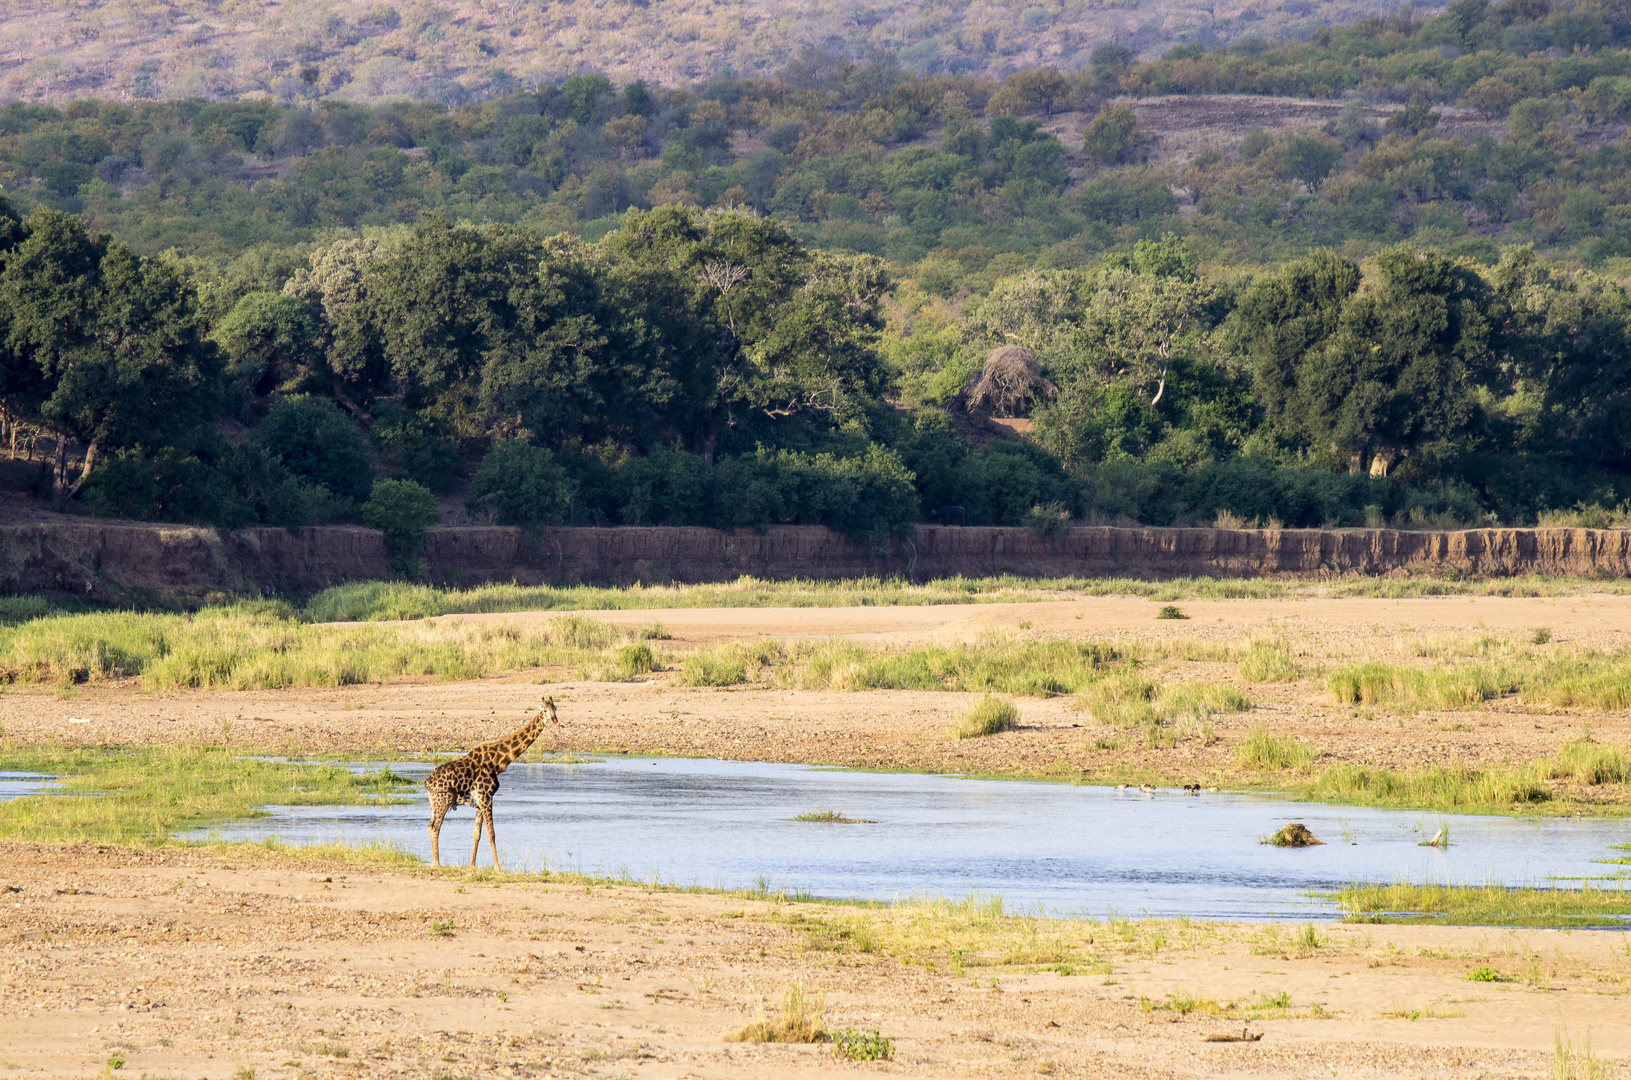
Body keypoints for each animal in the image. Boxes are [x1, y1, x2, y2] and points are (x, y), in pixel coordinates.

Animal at [427, 701, 561, 874]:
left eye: (555, 708)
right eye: (544, 710)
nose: (555, 719)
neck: (496, 763)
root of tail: (427, 782)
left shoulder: (479, 802)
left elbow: (476, 834)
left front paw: (472, 865)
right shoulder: (486, 797)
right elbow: (492, 833)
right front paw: (497, 867)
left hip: (434, 803)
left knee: (431, 826)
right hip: (442, 800)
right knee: (434, 827)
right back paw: (436, 863)